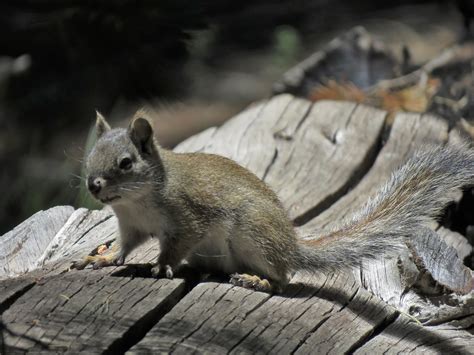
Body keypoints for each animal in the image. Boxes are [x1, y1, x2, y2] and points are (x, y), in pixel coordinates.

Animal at [71, 110, 474, 294]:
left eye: (126, 163)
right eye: (91, 153)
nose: (93, 185)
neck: (137, 201)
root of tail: (291, 246)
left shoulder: (187, 218)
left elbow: (175, 245)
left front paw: (161, 265)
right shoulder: (131, 226)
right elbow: (124, 248)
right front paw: (101, 258)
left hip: (254, 234)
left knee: (284, 278)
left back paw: (257, 280)